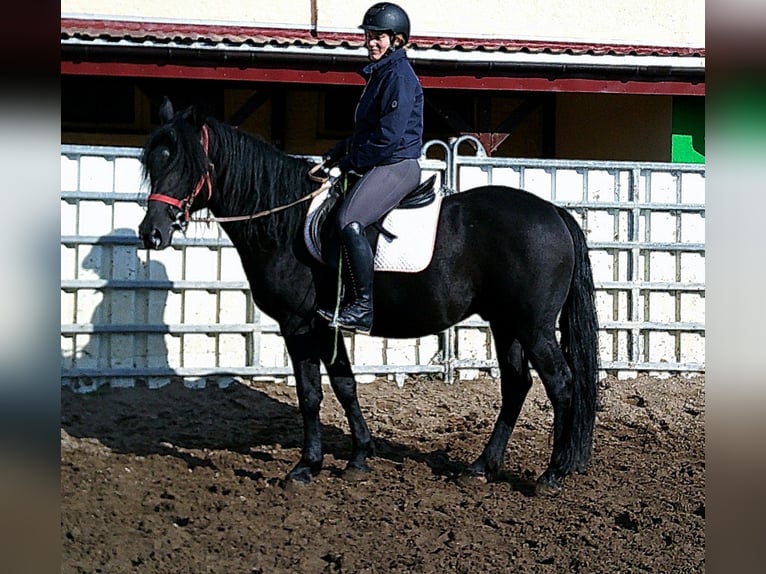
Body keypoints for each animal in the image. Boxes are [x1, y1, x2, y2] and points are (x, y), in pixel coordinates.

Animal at [138, 98, 600, 495]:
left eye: (186, 163)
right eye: (152, 162)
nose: (151, 233)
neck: (286, 221)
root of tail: (553, 212)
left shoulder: (298, 324)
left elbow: (310, 394)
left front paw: (305, 467)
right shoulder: (326, 325)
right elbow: (345, 386)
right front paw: (359, 457)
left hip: (534, 326)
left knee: (561, 385)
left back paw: (552, 474)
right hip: (506, 324)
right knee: (517, 384)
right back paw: (482, 467)